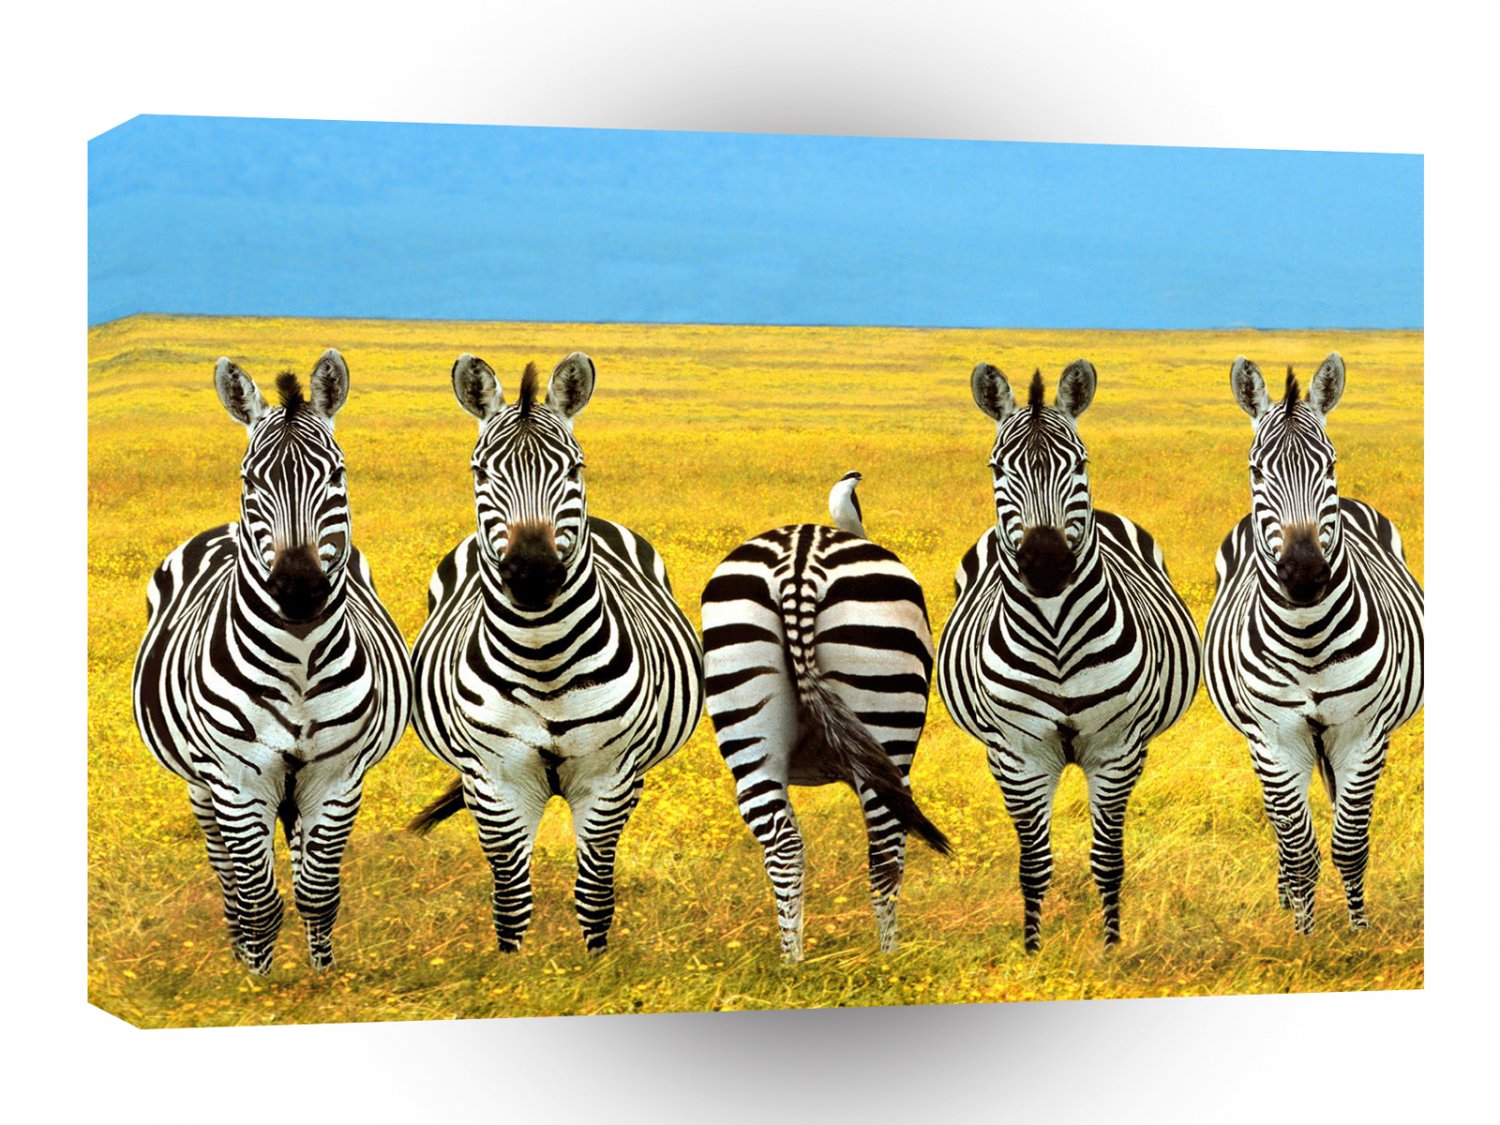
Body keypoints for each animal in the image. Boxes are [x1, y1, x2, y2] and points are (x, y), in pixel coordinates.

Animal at [132, 350, 412, 975]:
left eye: (337, 475)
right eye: (250, 480)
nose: (299, 588)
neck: (300, 662)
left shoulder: (337, 777)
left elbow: (317, 890)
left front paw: (321, 976)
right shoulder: (236, 778)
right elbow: (257, 898)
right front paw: (256, 982)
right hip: (202, 785)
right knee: (226, 874)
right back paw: (239, 949)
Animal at [407, 352, 704, 955]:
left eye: (574, 468)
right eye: (480, 472)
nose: (533, 574)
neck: (544, 660)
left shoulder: (609, 777)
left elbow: (594, 891)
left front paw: (597, 966)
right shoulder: (496, 781)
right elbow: (510, 898)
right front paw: (511, 967)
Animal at [700, 473, 951, 962]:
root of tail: (800, 558)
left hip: (745, 711)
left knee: (784, 846)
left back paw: (793, 963)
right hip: (887, 720)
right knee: (885, 849)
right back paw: (889, 960)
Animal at [937, 361, 1200, 951]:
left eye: (1079, 463)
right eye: (997, 468)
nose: (1046, 562)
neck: (1057, 635)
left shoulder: (1117, 751)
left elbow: (1107, 860)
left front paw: (1111, 947)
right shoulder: (1018, 756)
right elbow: (1034, 865)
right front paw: (1033, 951)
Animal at [1205, 354, 1423, 935]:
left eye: (1329, 464)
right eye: (1257, 471)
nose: (1304, 574)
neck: (1307, 638)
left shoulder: (1363, 734)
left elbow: (1349, 843)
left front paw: (1358, 932)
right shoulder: (1275, 738)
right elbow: (1300, 847)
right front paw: (1303, 936)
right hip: (1260, 742)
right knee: (1280, 825)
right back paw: (1286, 897)